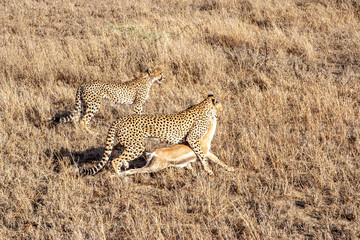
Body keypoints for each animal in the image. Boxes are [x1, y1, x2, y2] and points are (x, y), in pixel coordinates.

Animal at [79, 94, 222, 175]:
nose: (221, 112)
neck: (204, 107)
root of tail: (120, 118)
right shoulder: (192, 139)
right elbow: (202, 155)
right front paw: (208, 170)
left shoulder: (184, 141)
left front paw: (191, 168)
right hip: (137, 146)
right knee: (115, 160)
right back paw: (120, 175)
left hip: (130, 142)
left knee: (115, 148)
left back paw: (124, 164)